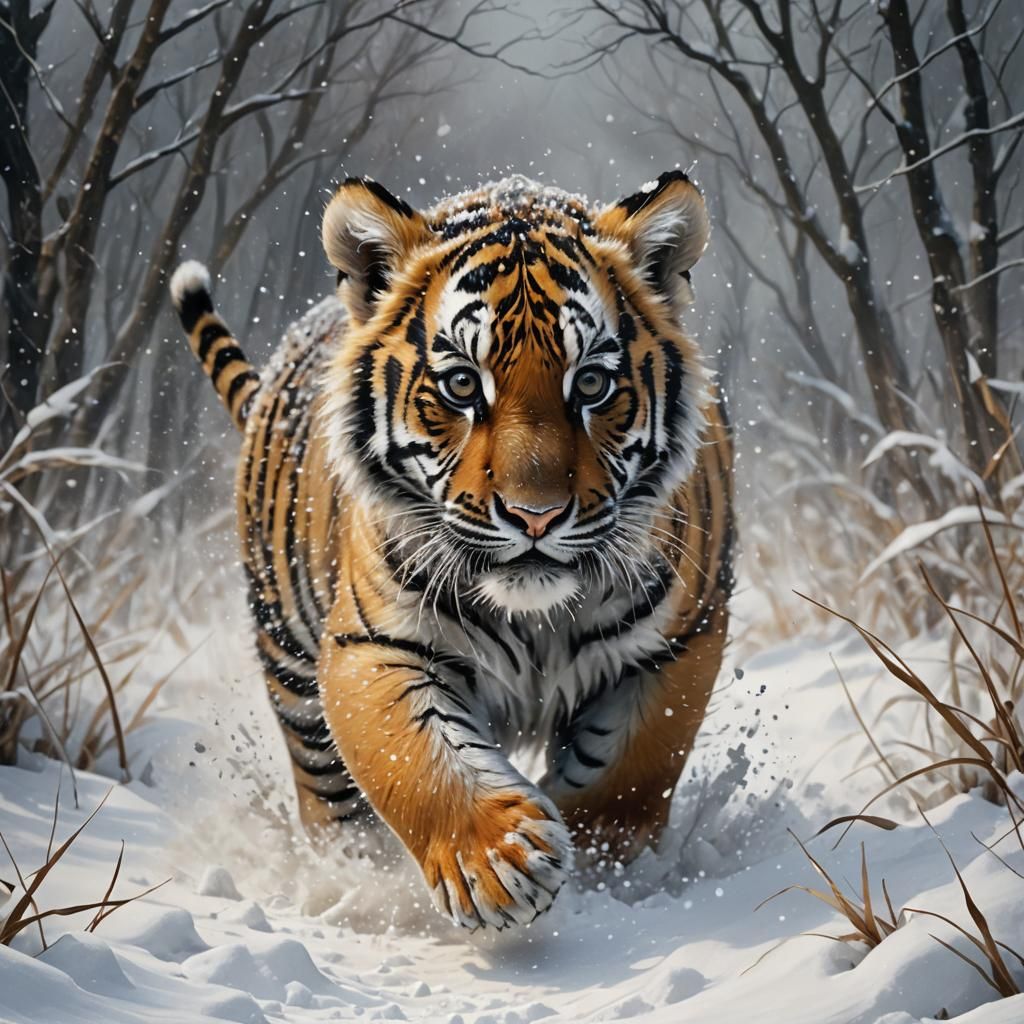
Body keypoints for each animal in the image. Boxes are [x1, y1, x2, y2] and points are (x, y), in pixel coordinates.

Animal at [169, 171, 734, 931]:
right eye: (463, 385)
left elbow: (630, 772)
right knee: (329, 804)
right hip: (289, 663)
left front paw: (600, 869)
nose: (534, 515)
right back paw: (352, 881)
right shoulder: (372, 642)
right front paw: (500, 863)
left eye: (591, 384)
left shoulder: (682, 641)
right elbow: (415, 757)